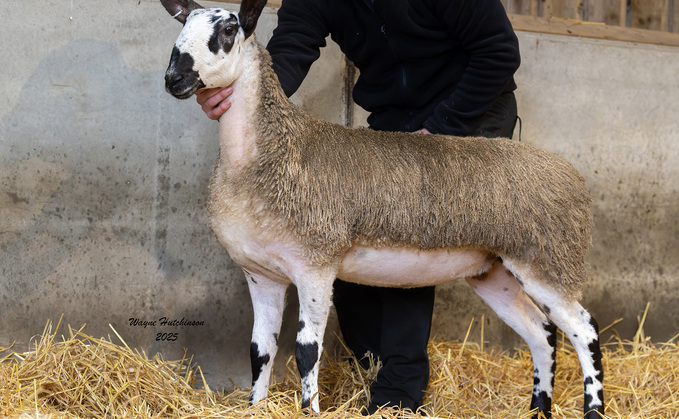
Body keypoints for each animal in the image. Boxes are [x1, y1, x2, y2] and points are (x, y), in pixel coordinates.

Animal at [162, 0, 608, 418]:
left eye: (227, 30)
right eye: (182, 27)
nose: (173, 79)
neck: (271, 152)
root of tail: (571, 175)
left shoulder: (315, 265)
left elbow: (307, 350)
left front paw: (309, 409)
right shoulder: (261, 274)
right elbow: (260, 350)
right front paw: (255, 407)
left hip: (548, 259)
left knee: (584, 330)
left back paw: (594, 408)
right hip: (494, 270)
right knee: (541, 333)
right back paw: (538, 409)